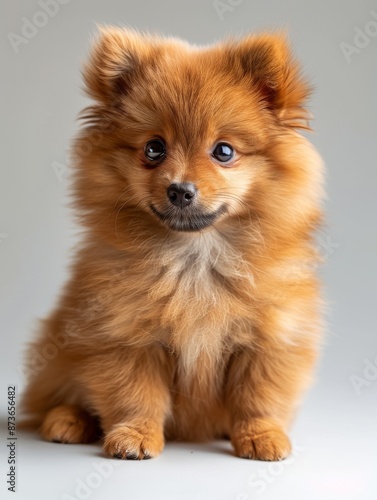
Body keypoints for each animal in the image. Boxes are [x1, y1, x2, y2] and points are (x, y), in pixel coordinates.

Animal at [22, 28, 324, 460]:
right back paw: (68, 421)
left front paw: (262, 435)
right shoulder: (126, 335)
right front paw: (135, 436)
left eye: (223, 151)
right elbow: (135, 394)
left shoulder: (268, 339)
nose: (180, 189)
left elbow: (258, 397)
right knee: (60, 396)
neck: (195, 257)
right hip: (59, 353)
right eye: (154, 148)